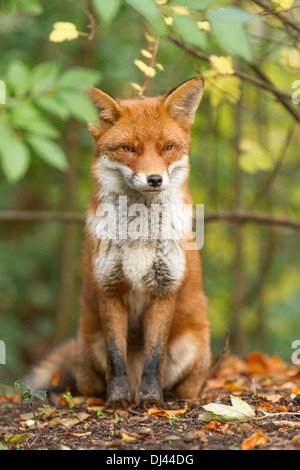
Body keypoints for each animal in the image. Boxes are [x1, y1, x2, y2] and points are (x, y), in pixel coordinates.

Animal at [25, 77, 211, 408]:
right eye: (128, 149)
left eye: (167, 147)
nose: (154, 179)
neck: (139, 234)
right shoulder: (109, 287)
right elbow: (116, 358)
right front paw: (116, 400)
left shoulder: (164, 289)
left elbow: (154, 358)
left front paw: (152, 400)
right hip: (89, 347)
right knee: (87, 383)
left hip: (191, 348)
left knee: (183, 386)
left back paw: (165, 396)